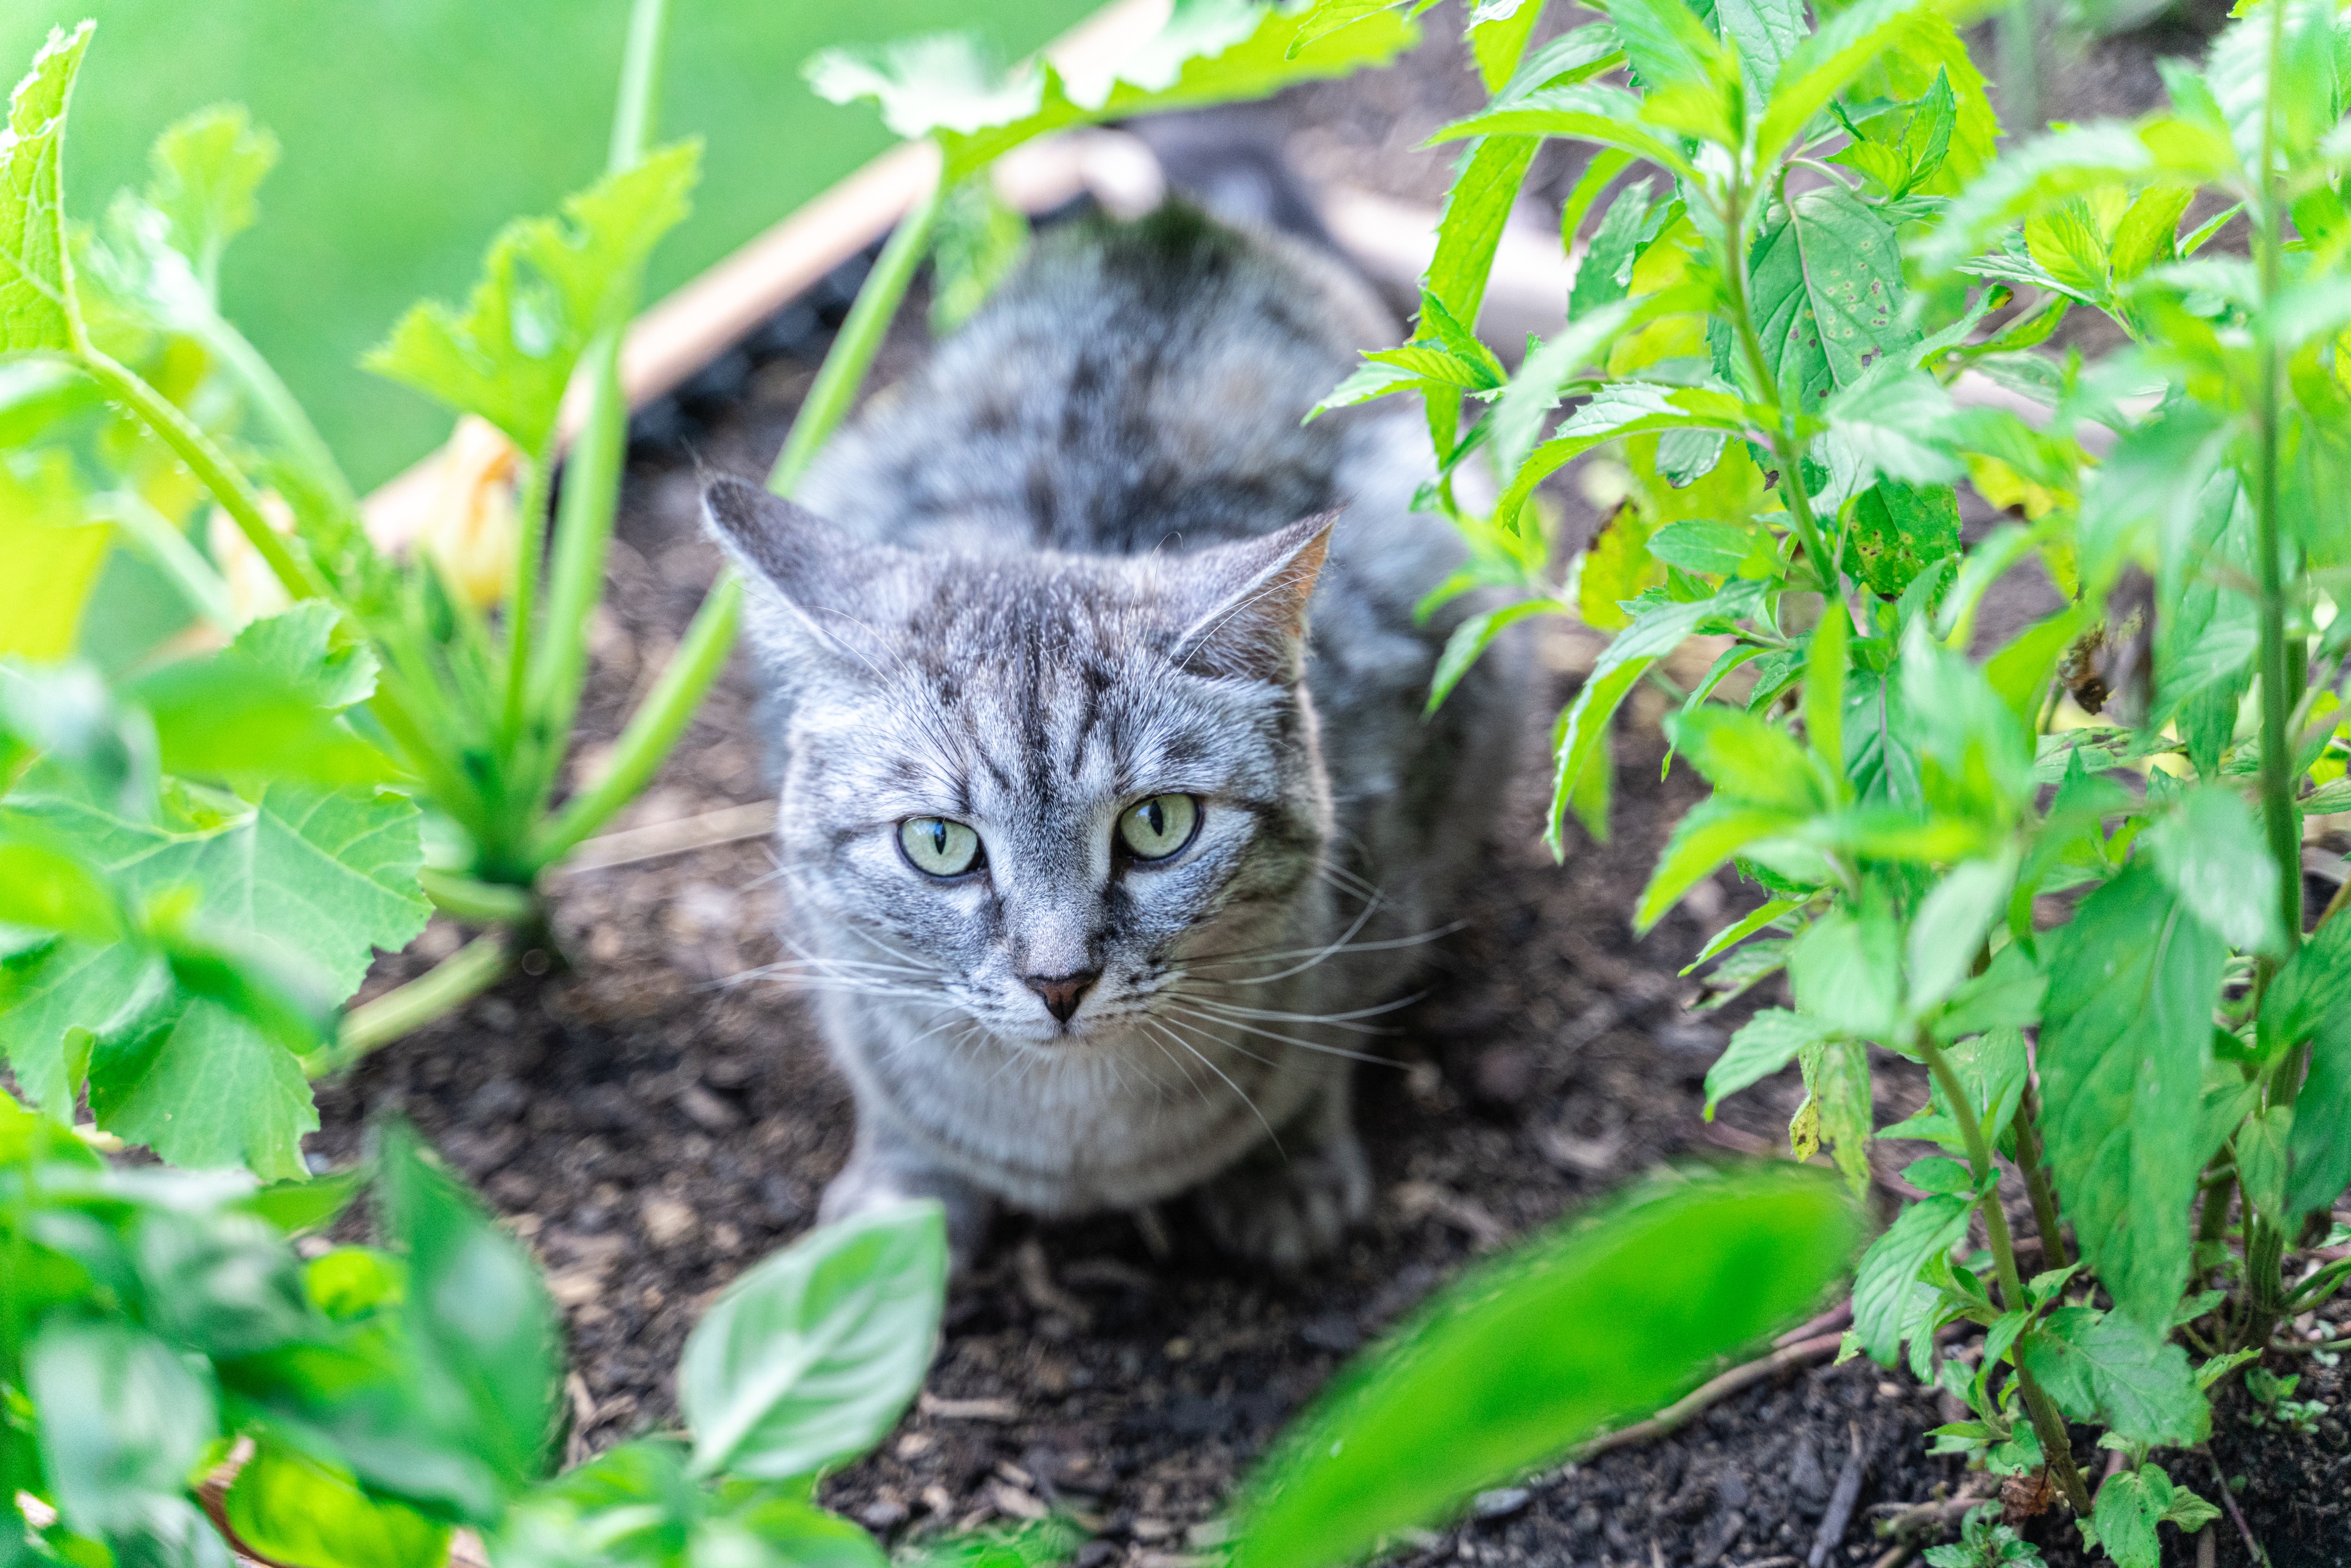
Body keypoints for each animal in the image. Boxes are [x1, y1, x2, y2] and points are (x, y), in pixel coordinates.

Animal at [701, 202, 1523, 1269]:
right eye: (940, 843)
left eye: (1158, 825)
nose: (1058, 983)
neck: (1082, 1139)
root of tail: (1173, 221)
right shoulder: (840, 972)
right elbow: (889, 1094)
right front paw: (898, 1200)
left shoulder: (1393, 871)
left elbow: (1322, 1053)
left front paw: (1289, 1167)